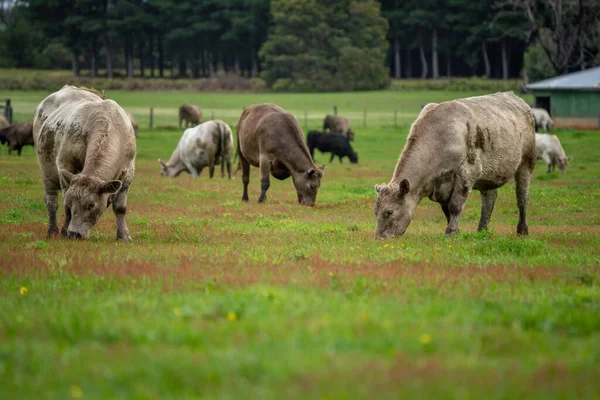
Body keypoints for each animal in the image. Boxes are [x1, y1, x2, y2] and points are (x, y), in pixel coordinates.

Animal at [33, 85, 137, 241]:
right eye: (71, 202)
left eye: (91, 204)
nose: (74, 233)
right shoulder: (66, 166)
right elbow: (65, 206)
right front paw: (65, 231)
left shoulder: (128, 174)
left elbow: (120, 207)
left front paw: (123, 235)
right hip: (46, 173)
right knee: (51, 202)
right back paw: (52, 230)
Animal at [376, 92, 536, 239]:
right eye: (375, 212)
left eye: (389, 212)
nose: (379, 238)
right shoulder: (441, 186)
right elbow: (447, 209)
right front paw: (454, 230)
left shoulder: (467, 174)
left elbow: (455, 206)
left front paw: (451, 232)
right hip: (490, 176)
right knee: (489, 200)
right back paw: (482, 230)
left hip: (526, 163)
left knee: (522, 198)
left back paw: (522, 230)